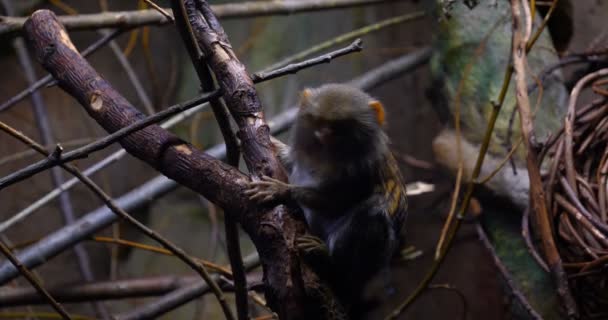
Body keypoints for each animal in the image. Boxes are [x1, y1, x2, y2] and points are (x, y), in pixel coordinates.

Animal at [243, 84, 408, 308]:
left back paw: (329, 260)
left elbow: (337, 202)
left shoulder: (362, 171)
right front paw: (275, 145)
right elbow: (290, 161)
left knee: (373, 212)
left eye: (339, 126)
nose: (323, 134)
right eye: (319, 121)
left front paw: (281, 190)